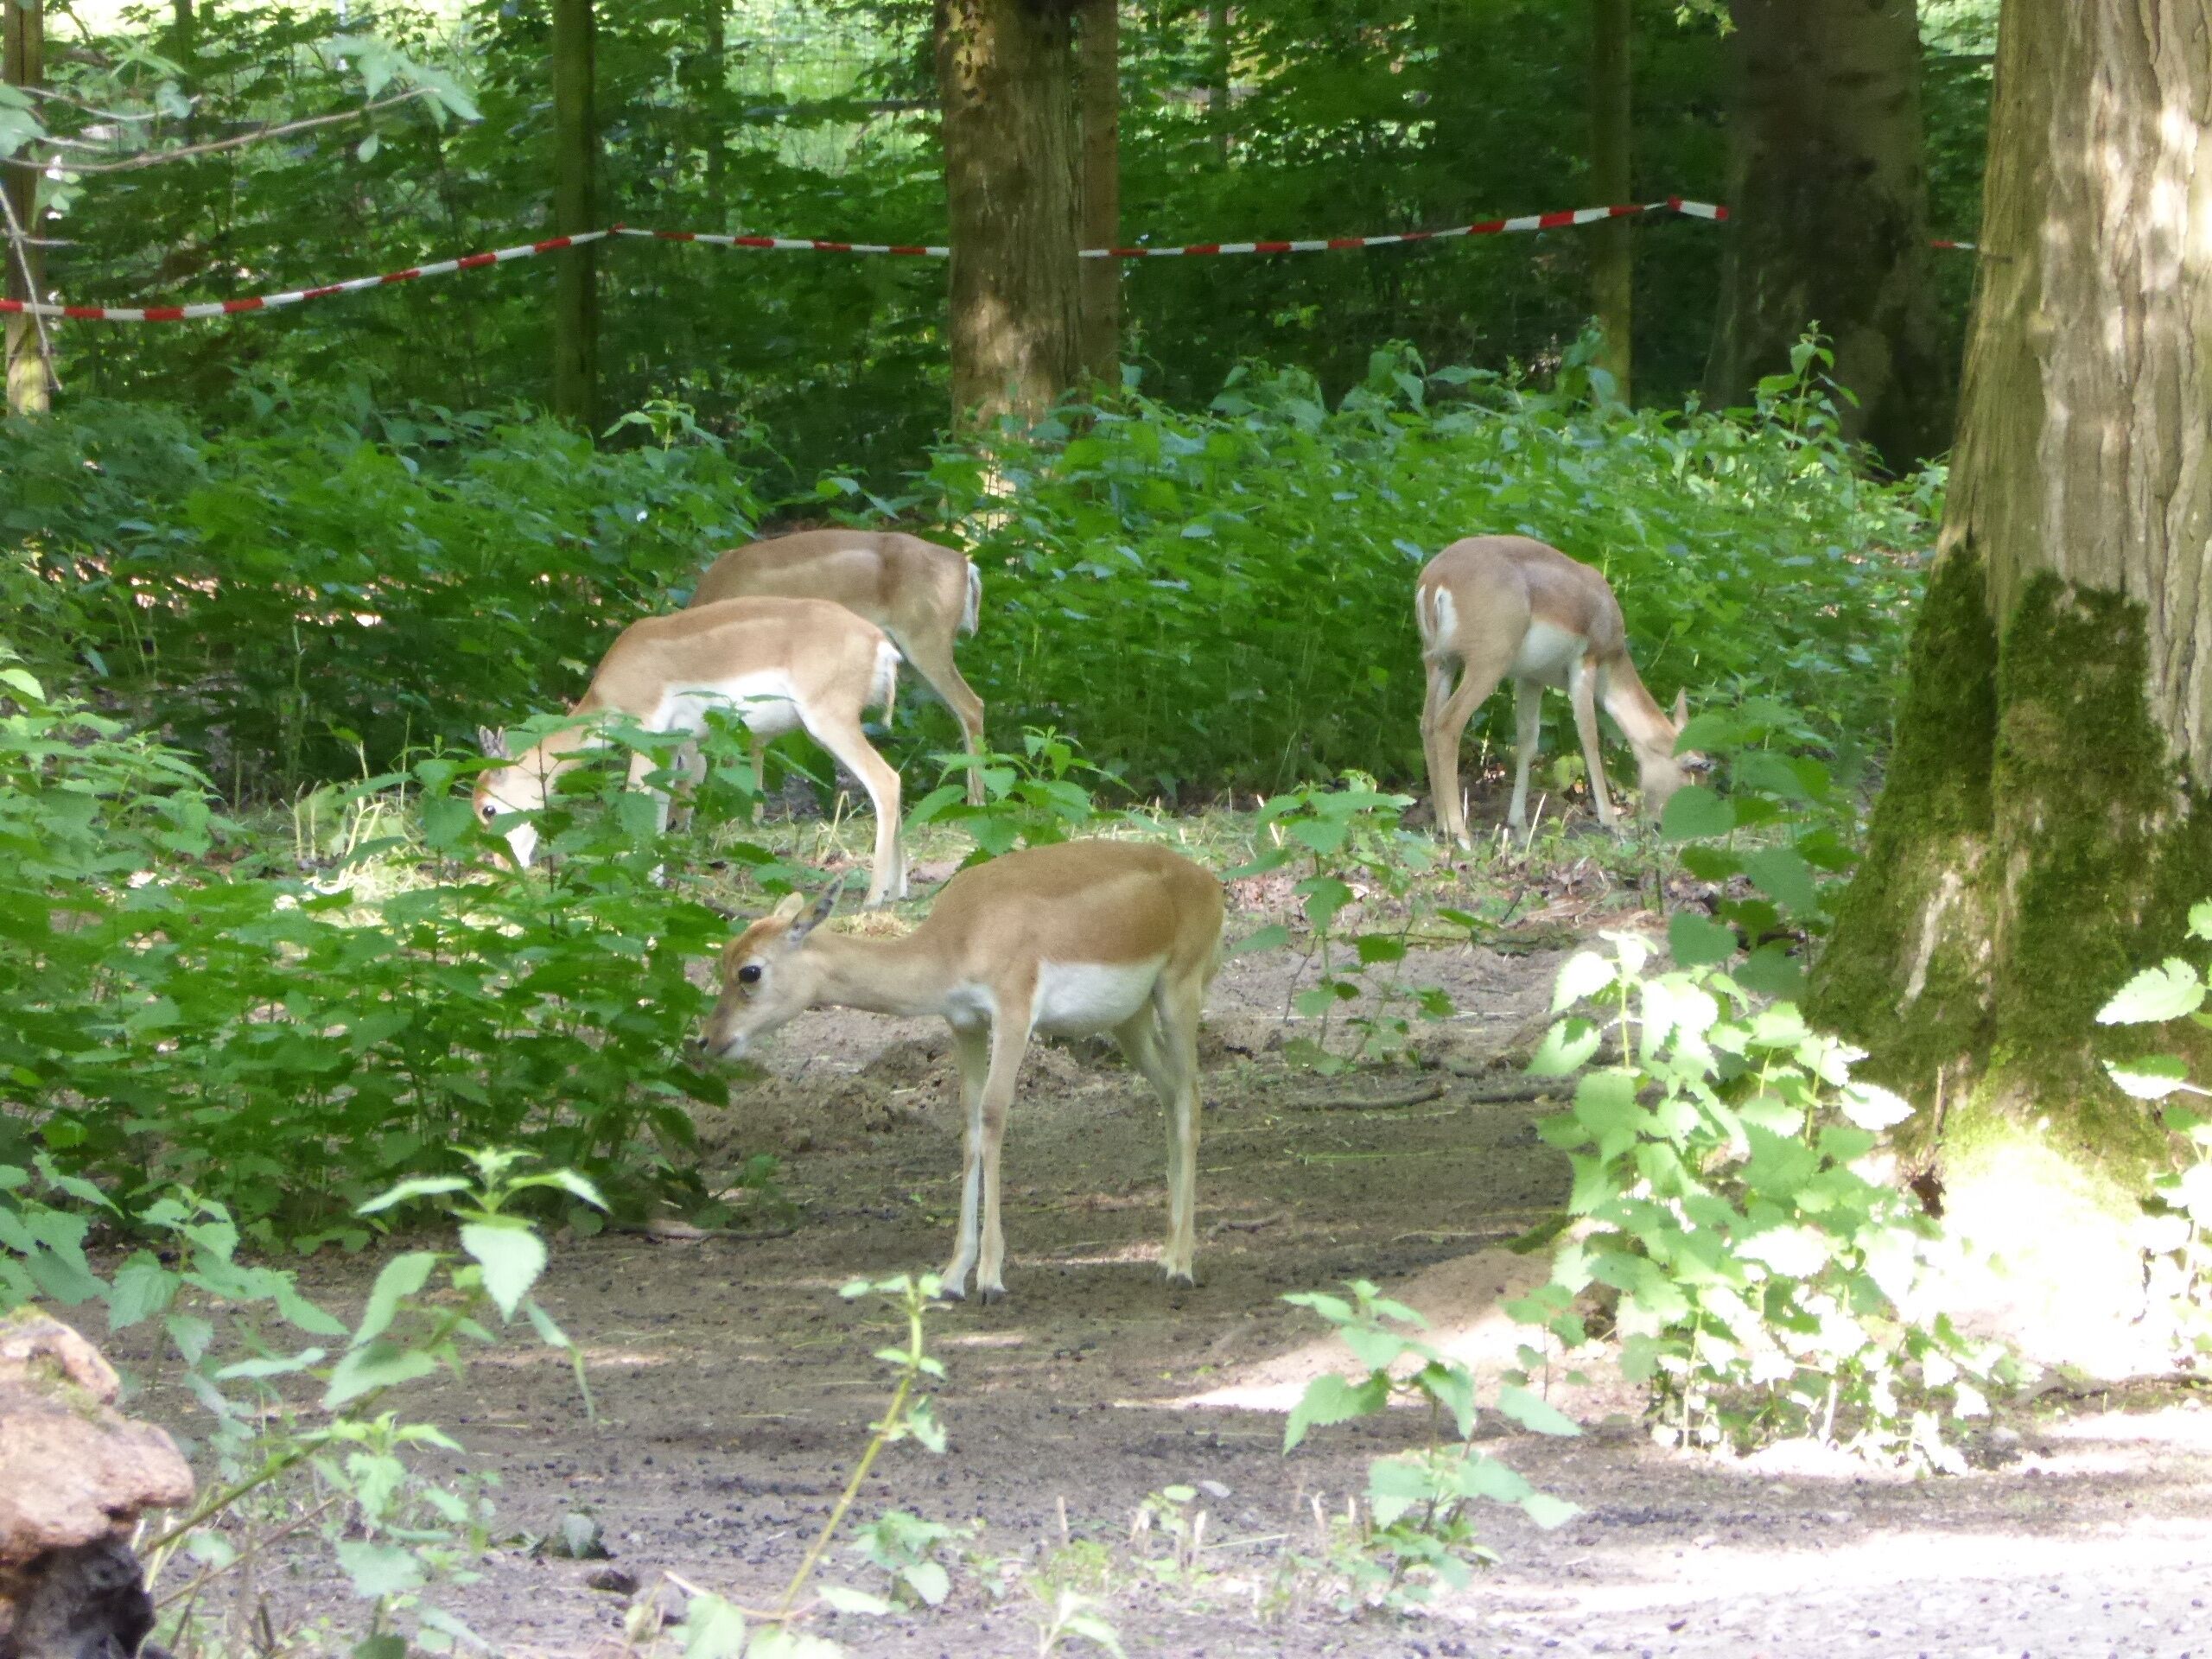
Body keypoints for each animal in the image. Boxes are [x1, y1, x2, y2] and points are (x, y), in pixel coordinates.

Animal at [473, 596, 909, 906]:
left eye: (487, 809)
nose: (503, 868)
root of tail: (880, 644)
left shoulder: (647, 732)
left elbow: (638, 797)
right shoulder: (673, 745)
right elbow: (662, 806)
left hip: (830, 723)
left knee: (886, 782)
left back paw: (874, 898)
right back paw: (900, 890)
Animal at [697, 840, 1225, 1303]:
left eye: (749, 971)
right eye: (723, 958)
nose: (705, 1041)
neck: (961, 935)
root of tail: (1207, 882)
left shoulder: (1013, 1015)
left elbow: (993, 1115)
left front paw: (990, 1279)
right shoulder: (965, 1024)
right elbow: (970, 1126)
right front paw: (952, 1278)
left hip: (1178, 996)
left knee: (1192, 1100)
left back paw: (1182, 1266)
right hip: (1130, 1023)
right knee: (1171, 1095)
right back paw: (1166, 1254)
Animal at [1417, 535, 1696, 844]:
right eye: (1689, 768)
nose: (1669, 827)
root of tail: (1438, 576)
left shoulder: (1530, 679)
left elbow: (1528, 742)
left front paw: (1519, 826)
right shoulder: (1585, 666)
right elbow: (1589, 737)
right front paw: (1611, 822)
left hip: (1441, 665)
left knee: (1427, 724)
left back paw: (1441, 825)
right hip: (1485, 667)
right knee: (1447, 723)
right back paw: (1460, 832)